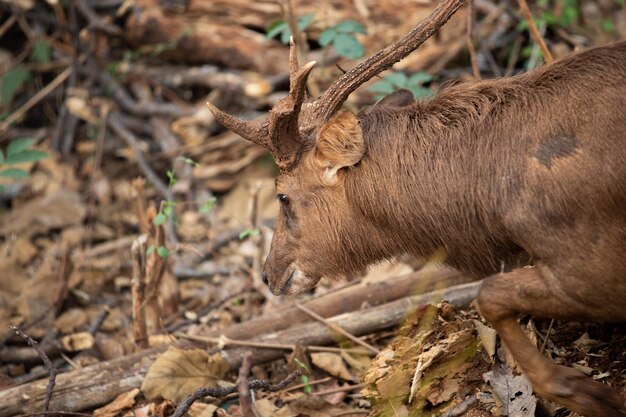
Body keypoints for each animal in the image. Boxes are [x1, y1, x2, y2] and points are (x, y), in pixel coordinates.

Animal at [206, 0, 624, 412]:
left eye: (283, 195)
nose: (268, 274)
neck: (485, 200)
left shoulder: (591, 267)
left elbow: (488, 293)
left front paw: (586, 392)